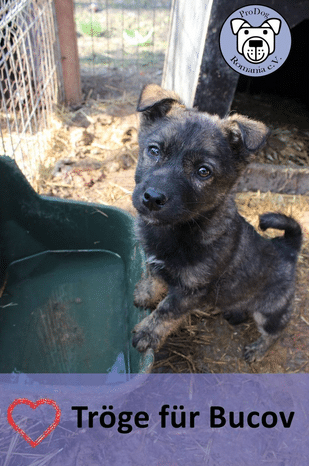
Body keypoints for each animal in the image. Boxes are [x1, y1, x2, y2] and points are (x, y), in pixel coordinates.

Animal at [131, 83, 300, 362]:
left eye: (203, 172)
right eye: (154, 151)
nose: (153, 199)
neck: (178, 230)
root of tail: (288, 248)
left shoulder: (190, 291)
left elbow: (166, 312)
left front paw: (147, 333)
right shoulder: (156, 263)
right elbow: (154, 278)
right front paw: (144, 294)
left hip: (271, 312)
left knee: (275, 333)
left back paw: (258, 350)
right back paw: (236, 312)